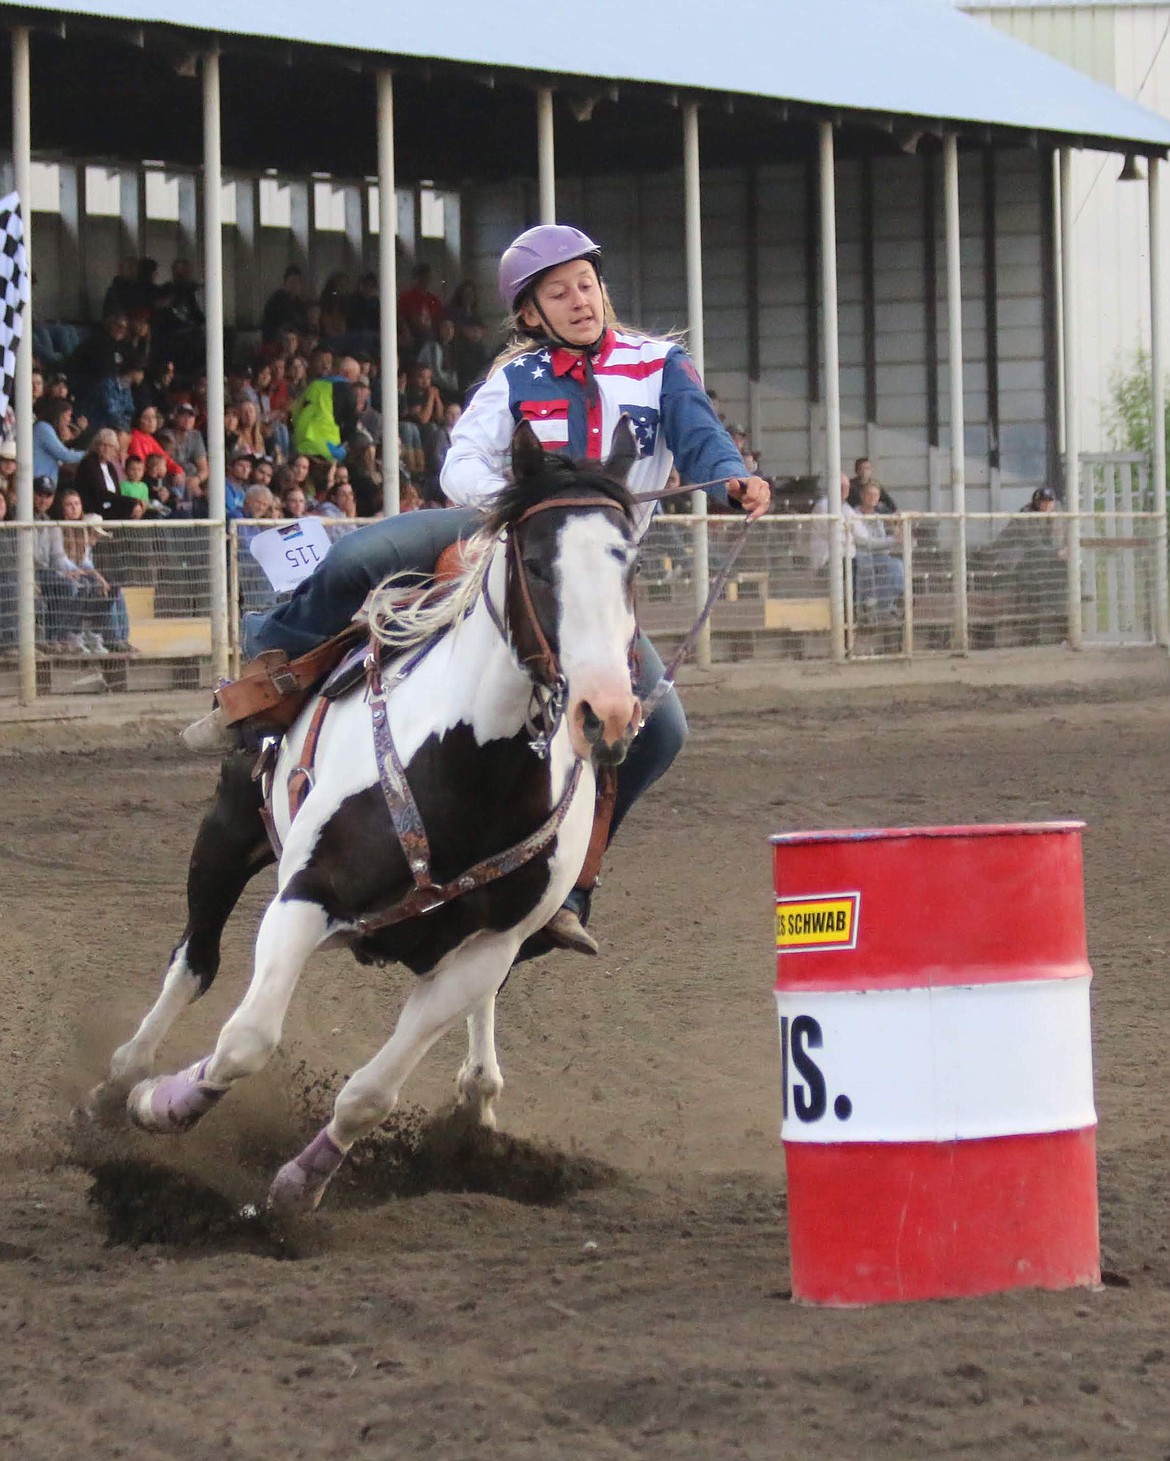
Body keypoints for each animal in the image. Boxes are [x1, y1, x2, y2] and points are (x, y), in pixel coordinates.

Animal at [88, 420, 642, 1209]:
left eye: (630, 565)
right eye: (536, 563)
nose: (608, 713)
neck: (471, 771)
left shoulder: (487, 950)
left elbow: (370, 1093)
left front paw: (300, 1185)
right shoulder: (305, 894)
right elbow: (246, 1038)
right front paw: (160, 1104)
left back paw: (479, 1099)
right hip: (227, 828)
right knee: (193, 963)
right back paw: (118, 1084)